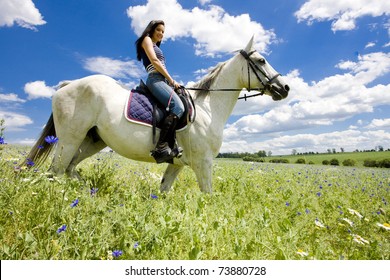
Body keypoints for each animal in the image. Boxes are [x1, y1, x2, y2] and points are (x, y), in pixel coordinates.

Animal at [25, 37, 290, 192]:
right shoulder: (203, 164)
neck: (208, 109)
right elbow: (208, 195)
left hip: (91, 141)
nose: (284, 88)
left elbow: (163, 191)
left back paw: (90, 193)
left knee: (69, 169)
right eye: (261, 60)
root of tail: (69, 85)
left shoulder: (178, 164)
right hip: (69, 140)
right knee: (56, 172)